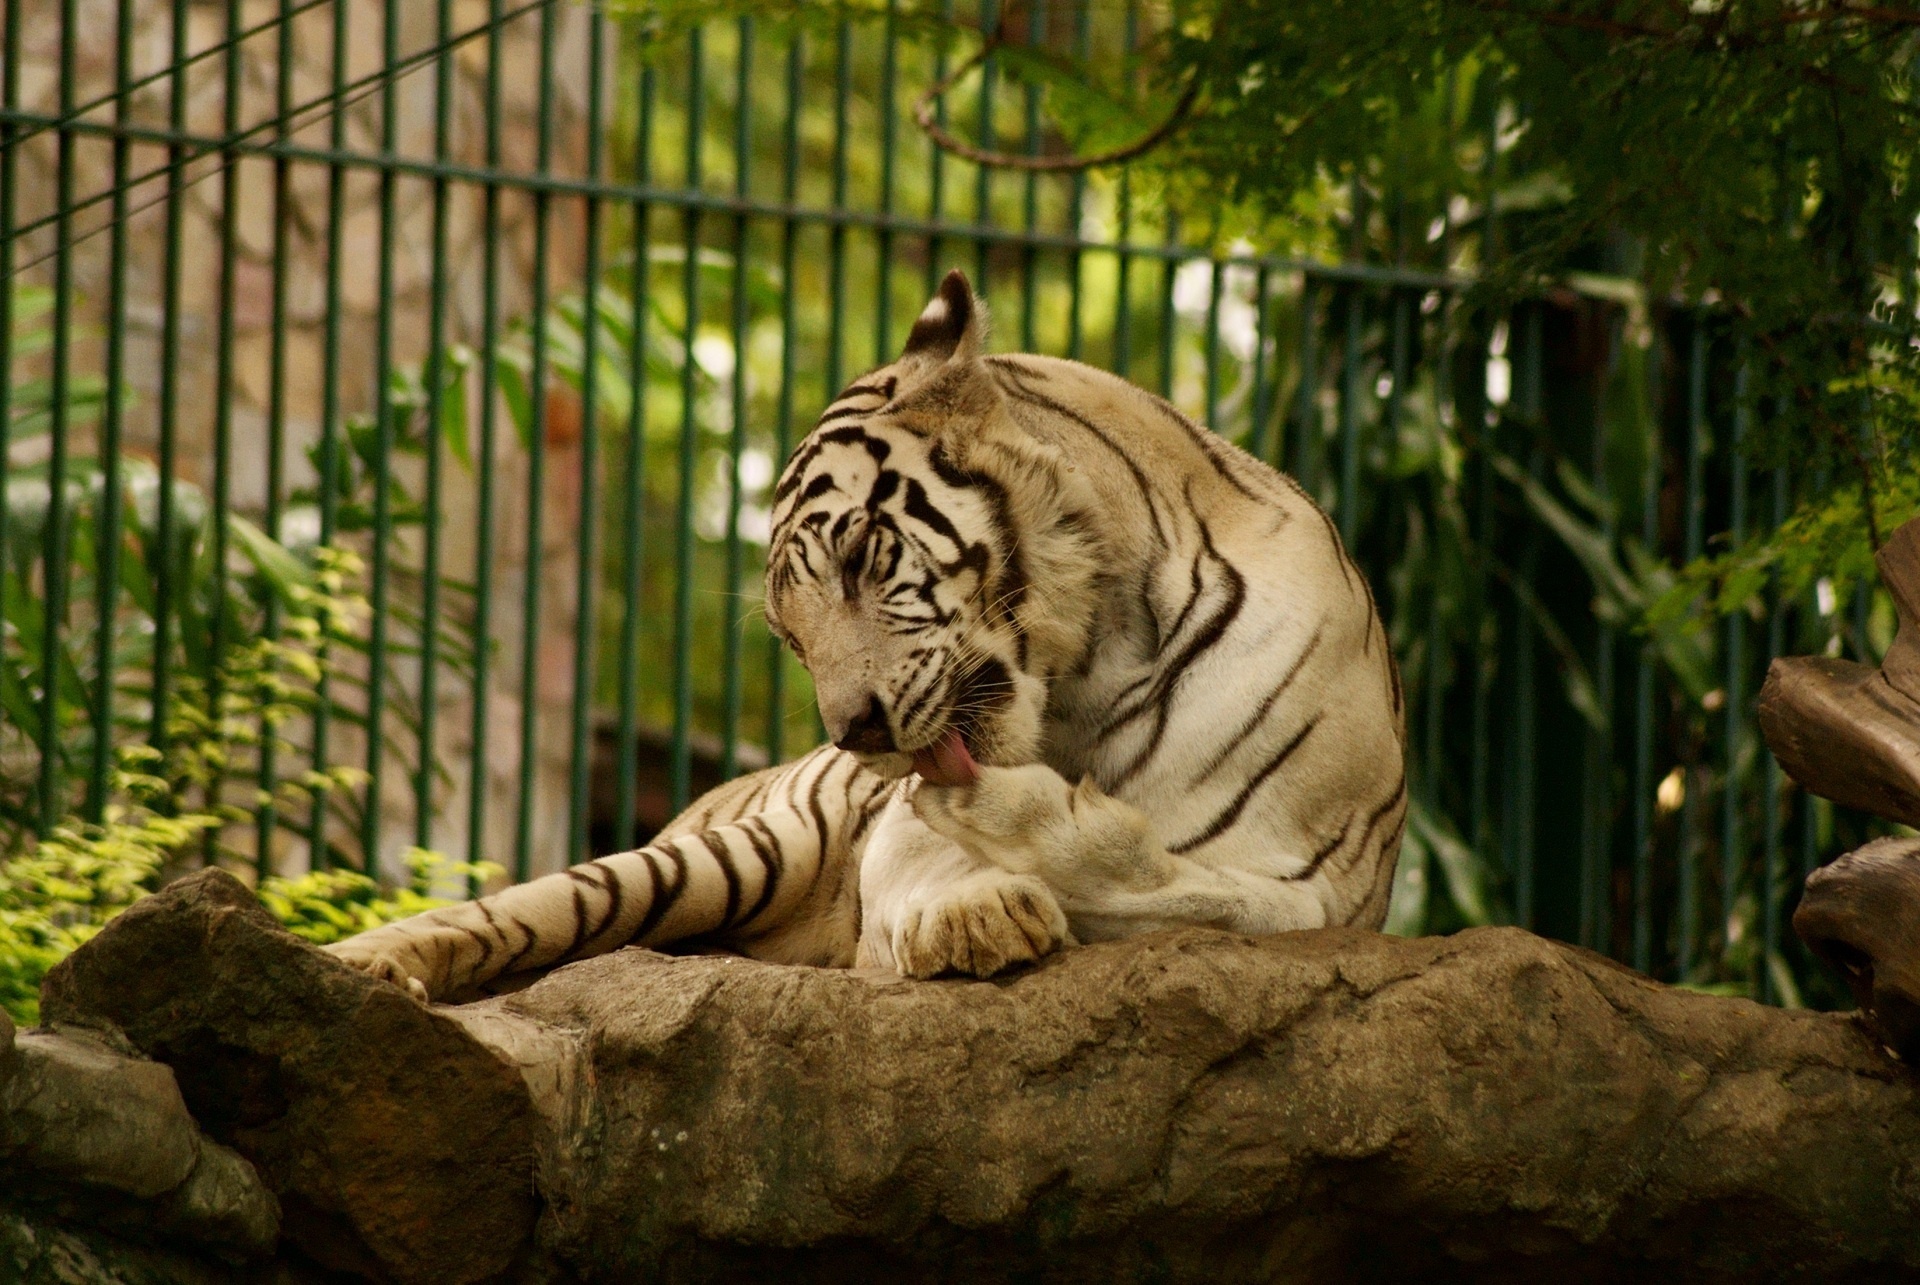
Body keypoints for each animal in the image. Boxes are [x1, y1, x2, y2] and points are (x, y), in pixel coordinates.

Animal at [327, 270, 1408, 1001]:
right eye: (790, 638)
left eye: (856, 558)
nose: (857, 734)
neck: (1095, 671)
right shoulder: (892, 832)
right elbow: (932, 859)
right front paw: (979, 909)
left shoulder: (1320, 886)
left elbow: (1186, 885)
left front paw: (1030, 833)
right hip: (721, 854)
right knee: (507, 910)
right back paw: (366, 968)